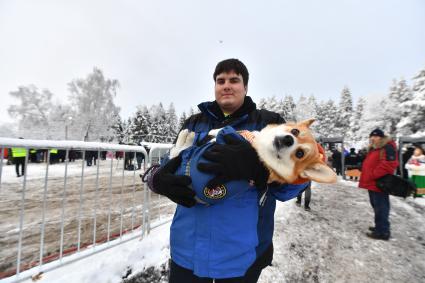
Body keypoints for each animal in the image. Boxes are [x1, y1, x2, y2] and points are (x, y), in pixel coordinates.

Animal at [171, 118, 336, 186]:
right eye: (295, 131)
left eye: (300, 154)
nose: (288, 140)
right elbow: (222, 129)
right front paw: (214, 130)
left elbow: (179, 150)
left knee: (179, 151)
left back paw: (186, 135)